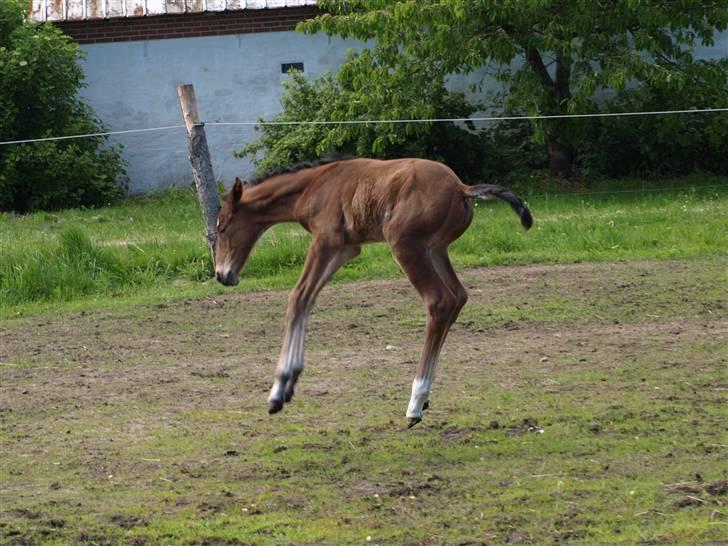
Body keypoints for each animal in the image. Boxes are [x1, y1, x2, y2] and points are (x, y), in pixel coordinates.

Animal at [213, 157, 532, 424]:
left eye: (222, 228)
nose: (222, 275)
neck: (313, 185)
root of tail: (461, 188)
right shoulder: (345, 248)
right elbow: (307, 299)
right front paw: (289, 384)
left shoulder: (325, 240)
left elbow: (297, 297)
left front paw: (278, 390)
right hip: (436, 249)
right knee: (458, 297)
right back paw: (426, 397)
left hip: (405, 245)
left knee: (439, 301)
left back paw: (415, 402)